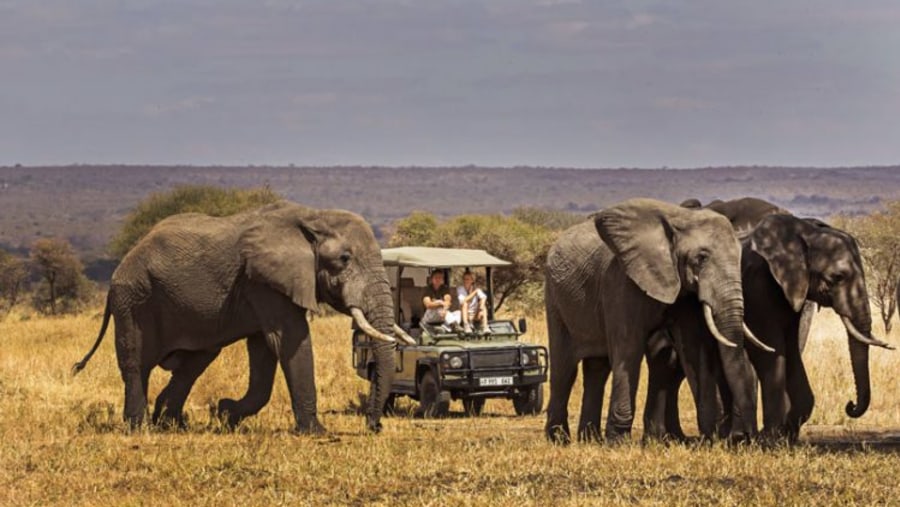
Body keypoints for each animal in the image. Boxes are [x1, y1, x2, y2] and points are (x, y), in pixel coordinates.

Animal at [74, 200, 414, 434]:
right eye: (344, 259)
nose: (374, 426)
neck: (313, 216)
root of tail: (122, 263)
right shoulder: (263, 282)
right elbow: (289, 340)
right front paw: (317, 433)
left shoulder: (263, 287)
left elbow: (264, 351)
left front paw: (225, 413)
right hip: (133, 299)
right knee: (136, 364)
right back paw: (141, 428)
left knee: (193, 364)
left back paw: (171, 424)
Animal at [540, 198, 760, 444]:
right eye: (701, 258)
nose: (742, 436)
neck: (681, 219)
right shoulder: (621, 282)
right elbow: (629, 349)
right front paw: (617, 442)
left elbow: (693, 349)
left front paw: (711, 438)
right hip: (555, 299)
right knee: (565, 369)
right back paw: (559, 439)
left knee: (597, 369)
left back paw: (590, 440)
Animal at [648, 198, 892, 444]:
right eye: (838, 277)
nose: (850, 405)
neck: (805, 233)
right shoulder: (759, 286)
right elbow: (770, 352)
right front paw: (770, 439)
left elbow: (791, 350)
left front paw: (785, 435)